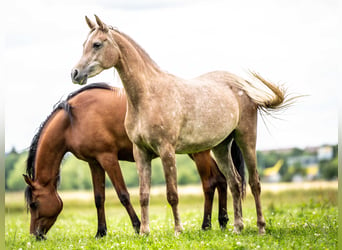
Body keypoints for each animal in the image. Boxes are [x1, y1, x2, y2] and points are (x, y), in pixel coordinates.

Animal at [23, 83, 243, 239]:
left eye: (34, 204)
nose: (35, 235)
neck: (73, 120)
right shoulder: (94, 162)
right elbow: (98, 198)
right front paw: (101, 232)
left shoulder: (108, 158)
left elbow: (123, 194)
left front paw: (137, 227)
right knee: (222, 179)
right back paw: (223, 221)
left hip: (200, 152)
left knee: (210, 183)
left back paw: (206, 225)